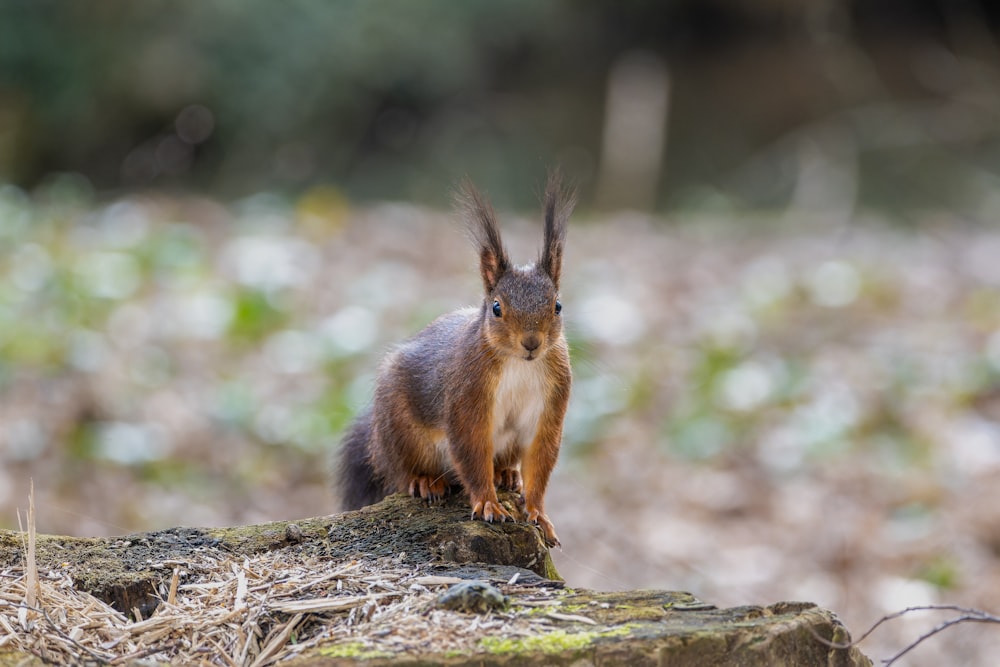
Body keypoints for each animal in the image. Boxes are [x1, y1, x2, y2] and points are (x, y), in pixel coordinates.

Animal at [336, 172, 576, 548]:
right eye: (496, 308)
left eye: (558, 306)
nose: (531, 343)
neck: (519, 365)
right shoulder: (468, 393)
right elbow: (471, 451)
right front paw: (489, 504)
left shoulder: (552, 402)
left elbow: (541, 457)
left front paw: (539, 514)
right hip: (400, 433)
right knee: (401, 473)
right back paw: (424, 481)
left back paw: (506, 473)